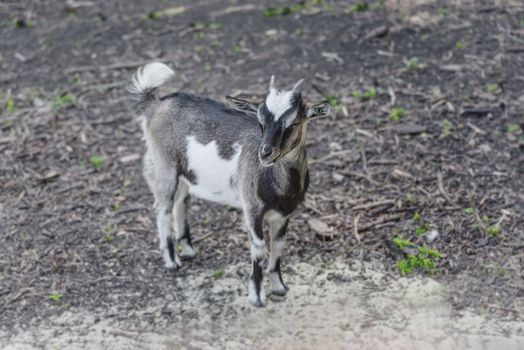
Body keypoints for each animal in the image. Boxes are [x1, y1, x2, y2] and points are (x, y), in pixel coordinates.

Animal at [129, 62, 330, 306]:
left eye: (293, 124)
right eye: (260, 122)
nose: (265, 153)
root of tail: (156, 105)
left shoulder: (284, 214)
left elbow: (278, 246)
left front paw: (279, 287)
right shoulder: (252, 209)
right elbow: (259, 248)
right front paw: (256, 296)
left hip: (185, 173)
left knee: (180, 203)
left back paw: (188, 250)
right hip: (163, 165)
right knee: (162, 209)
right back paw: (172, 261)